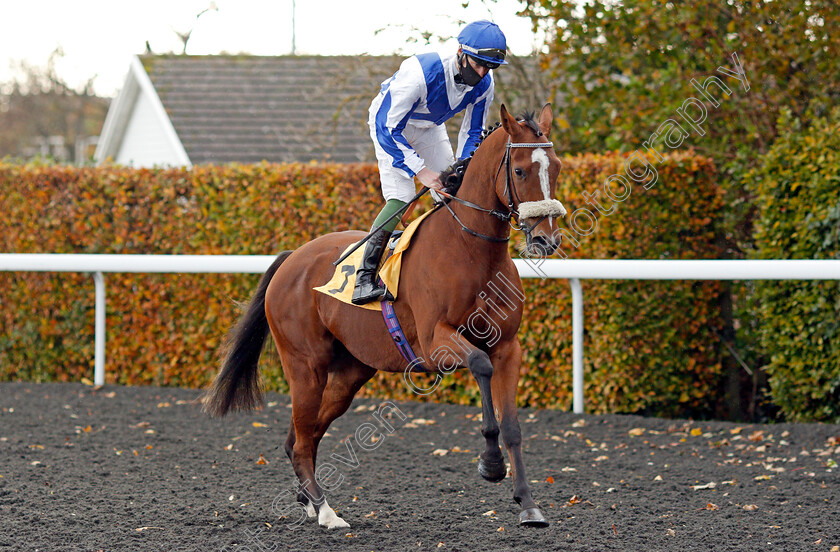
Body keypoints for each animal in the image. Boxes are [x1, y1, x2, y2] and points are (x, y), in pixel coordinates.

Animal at [205, 103, 564, 532]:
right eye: (521, 171)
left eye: (556, 167)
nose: (546, 239)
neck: (468, 250)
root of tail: (291, 258)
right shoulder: (435, 342)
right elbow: (480, 365)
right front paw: (491, 464)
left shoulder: (509, 347)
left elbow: (512, 426)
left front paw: (528, 504)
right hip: (305, 366)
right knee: (304, 439)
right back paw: (326, 511)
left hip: (348, 373)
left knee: (301, 437)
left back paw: (307, 500)